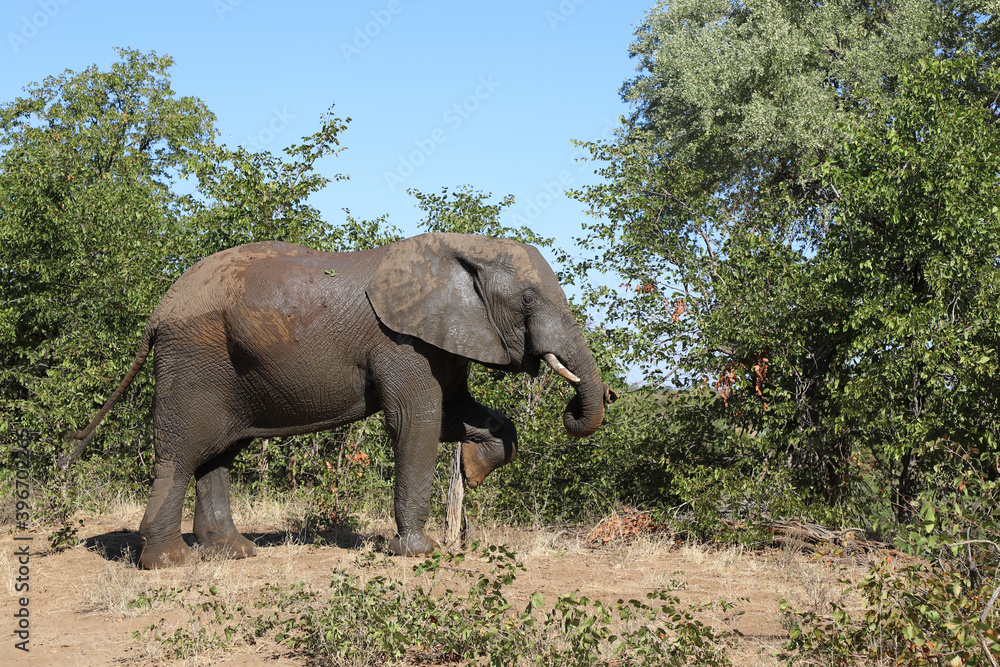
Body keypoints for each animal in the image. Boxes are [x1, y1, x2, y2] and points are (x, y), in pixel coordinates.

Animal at [65, 232, 618, 569]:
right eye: (527, 301)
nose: (585, 404)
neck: (462, 248)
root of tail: (158, 314)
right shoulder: (400, 342)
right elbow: (416, 422)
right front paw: (419, 552)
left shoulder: (441, 338)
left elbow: (455, 415)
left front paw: (475, 466)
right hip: (193, 359)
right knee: (182, 453)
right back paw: (171, 563)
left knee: (218, 453)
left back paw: (234, 553)